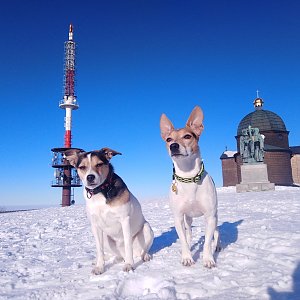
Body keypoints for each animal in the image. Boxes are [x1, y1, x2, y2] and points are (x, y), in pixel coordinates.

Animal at [159, 105, 220, 268]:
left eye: (187, 136)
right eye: (169, 139)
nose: (173, 146)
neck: (188, 178)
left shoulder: (210, 216)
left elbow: (207, 242)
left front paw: (208, 259)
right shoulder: (178, 217)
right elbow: (184, 240)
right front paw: (187, 257)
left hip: (215, 216)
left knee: (216, 232)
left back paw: (217, 246)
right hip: (188, 219)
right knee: (188, 234)